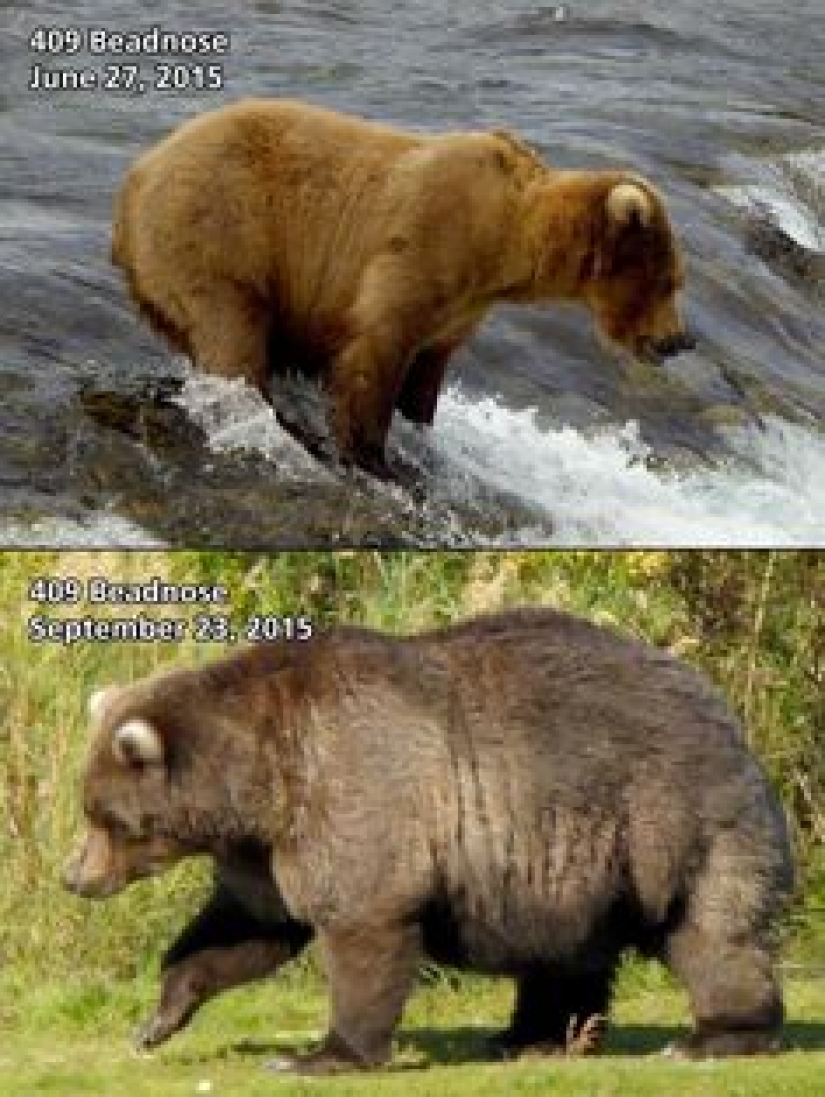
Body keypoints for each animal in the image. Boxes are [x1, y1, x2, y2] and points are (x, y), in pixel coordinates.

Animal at [62, 614, 785, 1075]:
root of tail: (723, 709)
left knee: (708, 928)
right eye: (89, 808)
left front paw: (317, 1055)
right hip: (573, 864)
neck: (258, 780)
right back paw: (532, 1037)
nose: (74, 875)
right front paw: (156, 1020)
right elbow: (244, 929)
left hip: (672, 815)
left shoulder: (356, 794)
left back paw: (711, 1038)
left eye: (107, 817)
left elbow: (363, 926)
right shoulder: (264, 853)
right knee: (565, 951)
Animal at [108, 102, 688, 476]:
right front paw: (372, 458)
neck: (503, 239)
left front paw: (419, 434)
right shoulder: (425, 244)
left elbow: (427, 371)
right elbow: (376, 350)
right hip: (217, 232)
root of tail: (134, 180)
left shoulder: (460, 307)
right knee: (233, 335)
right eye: (668, 282)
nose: (678, 340)